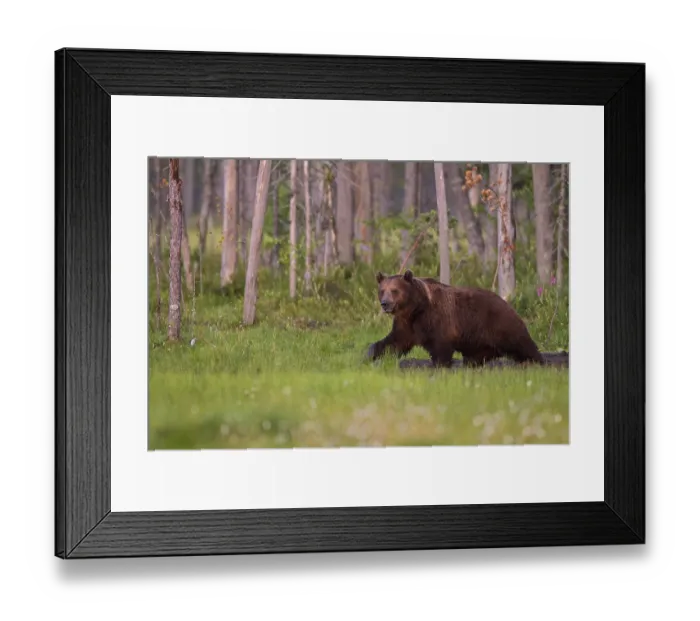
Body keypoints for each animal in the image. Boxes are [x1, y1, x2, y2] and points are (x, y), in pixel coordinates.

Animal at [366, 269, 545, 368]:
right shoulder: (406, 325)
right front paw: (369, 355)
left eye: (394, 290)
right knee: (475, 357)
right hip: (479, 341)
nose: (385, 304)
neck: (414, 310)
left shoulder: (436, 320)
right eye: (382, 290)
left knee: (522, 344)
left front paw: (439, 366)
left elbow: (440, 347)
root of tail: (508, 303)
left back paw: (536, 361)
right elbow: (392, 343)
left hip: (500, 323)